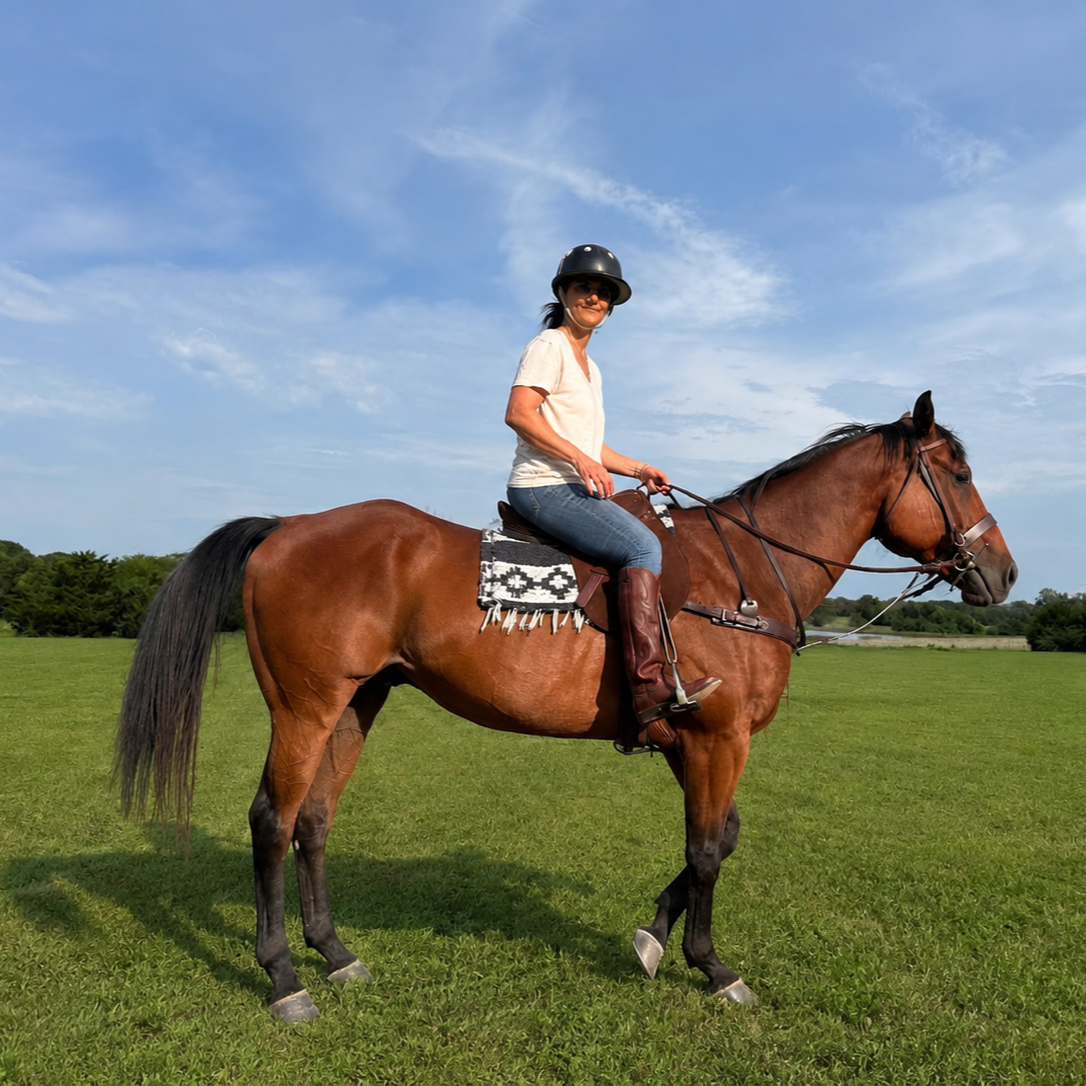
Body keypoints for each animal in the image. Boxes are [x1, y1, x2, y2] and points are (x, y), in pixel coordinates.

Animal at [115, 392, 1017, 1021]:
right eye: (959, 473)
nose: (1004, 574)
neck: (746, 578)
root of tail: (288, 524)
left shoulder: (699, 745)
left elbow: (717, 840)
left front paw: (653, 939)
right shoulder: (717, 737)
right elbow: (708, 851)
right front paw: (712, 967)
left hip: (355, 704)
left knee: (313, 821)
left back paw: (335, 956)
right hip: (304, 707)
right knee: (272, 821)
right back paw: (282, 979)